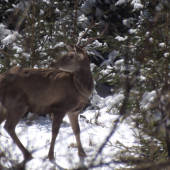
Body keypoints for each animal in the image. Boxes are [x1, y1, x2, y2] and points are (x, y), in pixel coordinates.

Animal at [0, 20, 109, 161]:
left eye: (70, 56)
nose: (52, 63)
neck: (80, 90)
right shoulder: (59, 107)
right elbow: (55, 132)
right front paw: (51, 155)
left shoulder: (73, 111)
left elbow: (77, 130)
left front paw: (82, 153)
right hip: (17, 104)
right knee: (9, 127)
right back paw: (28, 154)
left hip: (6, 106)